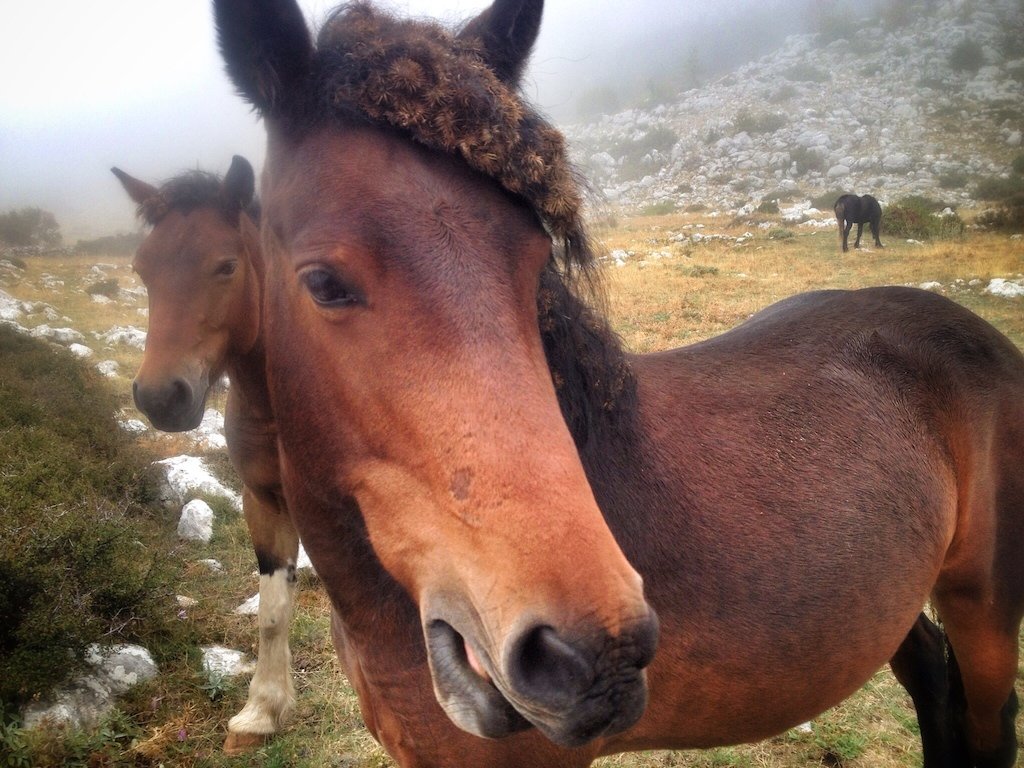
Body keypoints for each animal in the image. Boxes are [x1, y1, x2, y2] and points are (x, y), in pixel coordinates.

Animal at [112, 158, 300, 754]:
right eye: (142, 269)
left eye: (225, 266)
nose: (160, 397)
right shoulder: (265, 501)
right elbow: (271, 611)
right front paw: (261, 712)